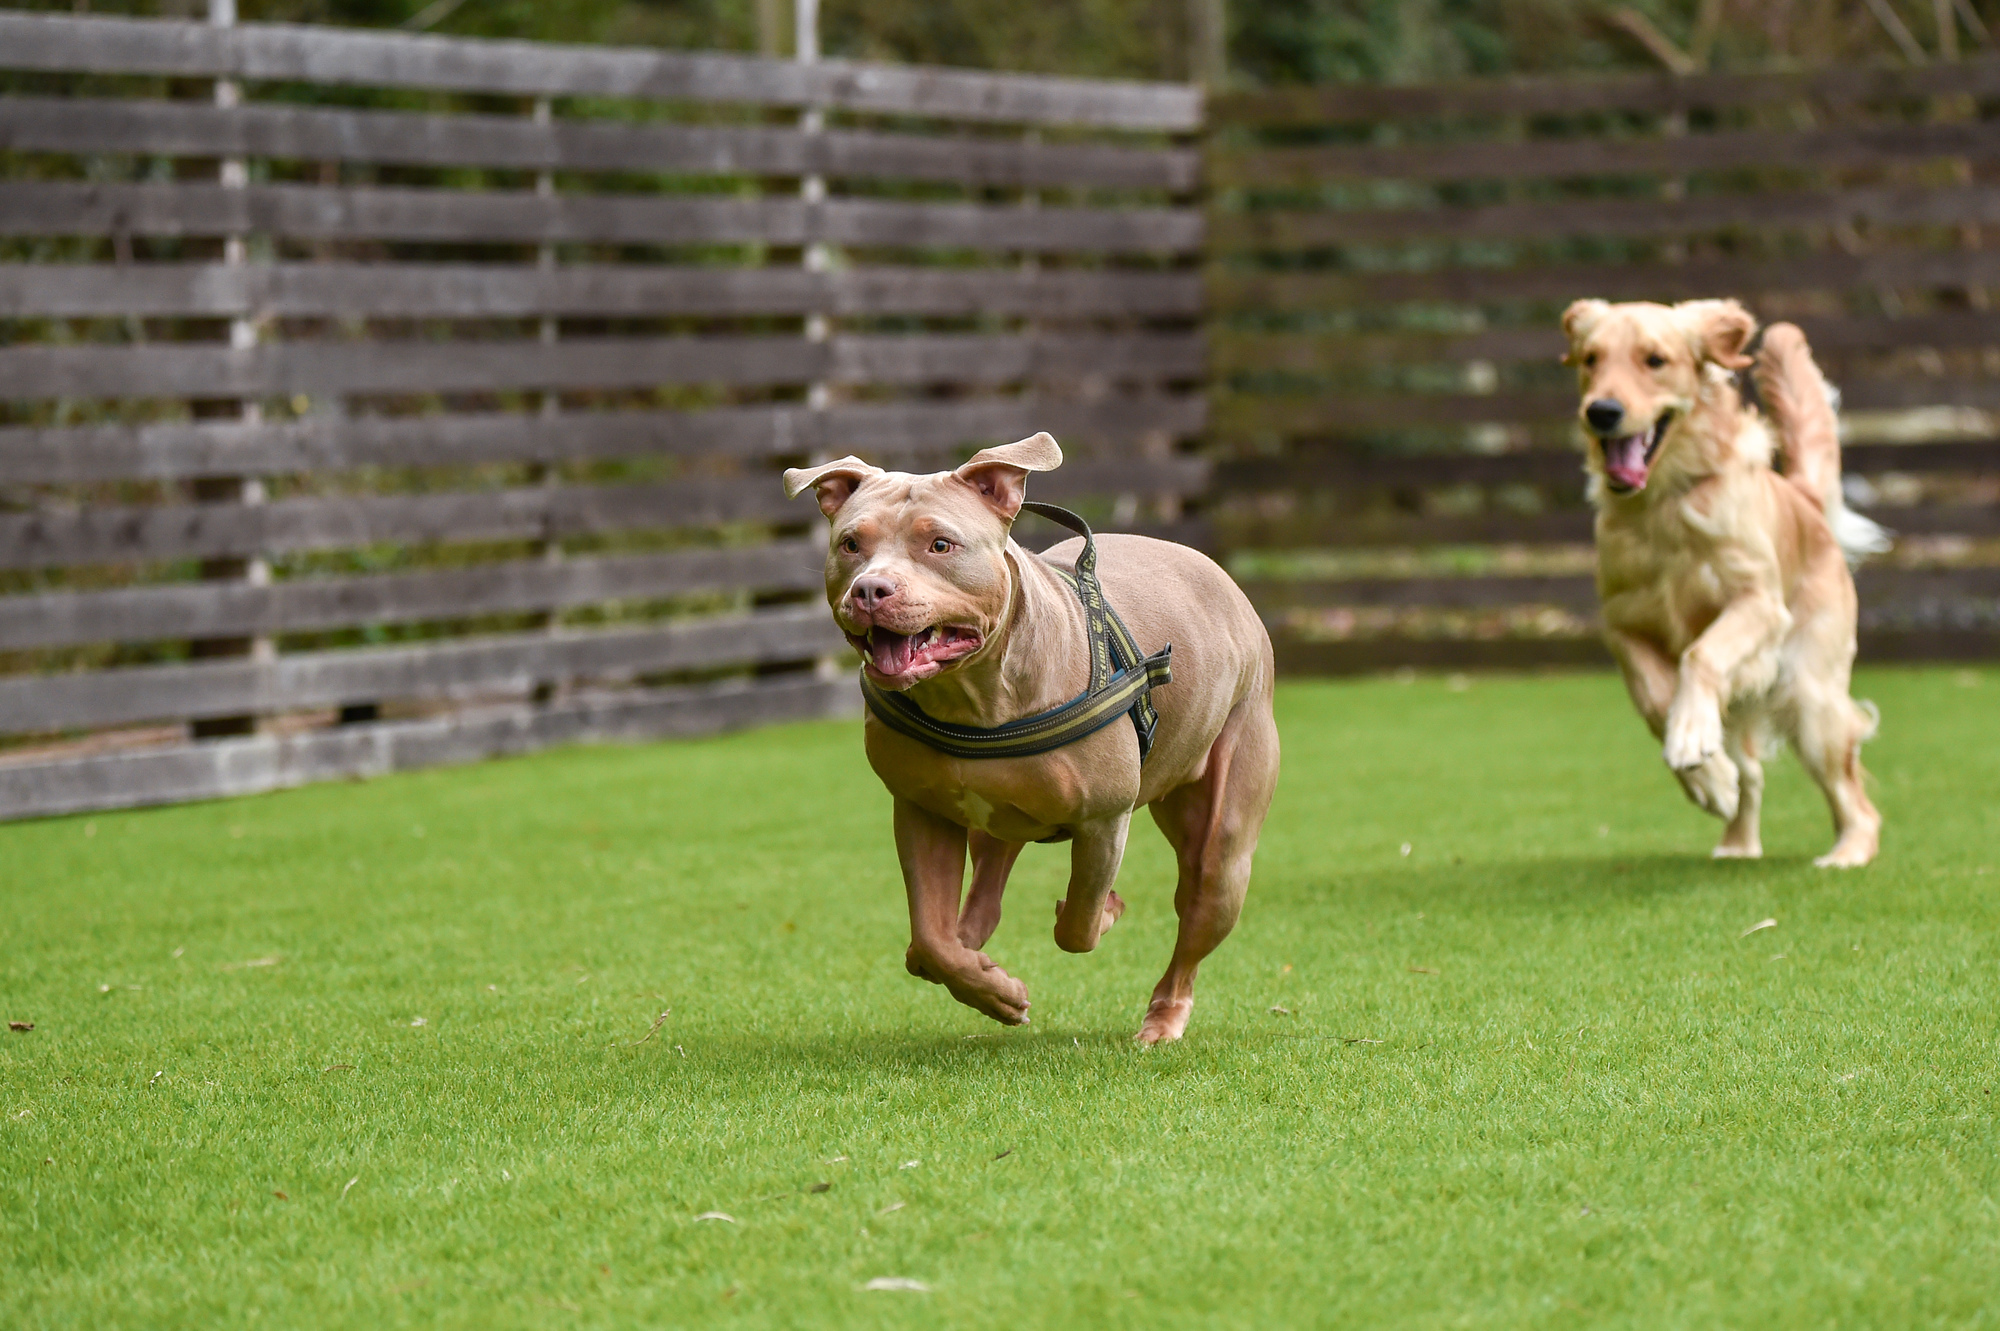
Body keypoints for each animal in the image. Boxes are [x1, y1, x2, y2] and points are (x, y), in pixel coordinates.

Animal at [784, 433, 1280, 1039]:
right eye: (851, 544)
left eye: (941, 545)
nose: (870, 589)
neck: (974, 697)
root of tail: (1216, 572)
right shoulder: (923, 811)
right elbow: (932, 938)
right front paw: (992, 989)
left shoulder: (1103, 821)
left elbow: (1079, 923)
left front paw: (1105, 911)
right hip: (997, 822)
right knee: (979, 900)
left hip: (1225, 841)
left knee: (1197, 911)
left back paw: (1163, 1020)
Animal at [1560, 295, 1888, 867]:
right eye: (1591, 360)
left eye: (1654, 360)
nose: (1601, 412)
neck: (1662, 503)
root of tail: (1804, 501)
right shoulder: (1622, 623)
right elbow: (1654, 699)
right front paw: (1707, 776)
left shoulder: (1757, 603)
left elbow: (1700, 654)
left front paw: (1691, 737)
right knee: (1750, 771)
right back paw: (1736, 836)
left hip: (1810, 698)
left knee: (1853, 793)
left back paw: (1847, 852)